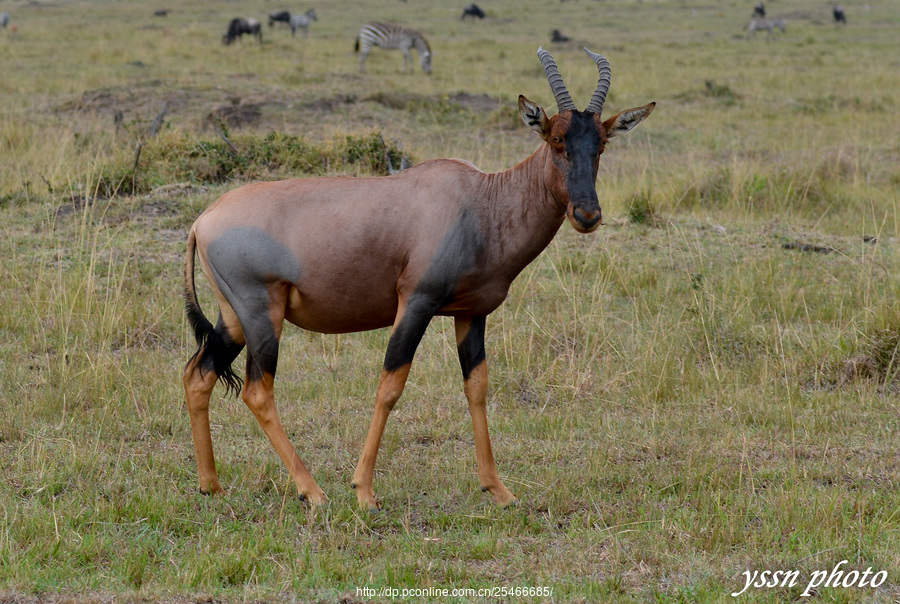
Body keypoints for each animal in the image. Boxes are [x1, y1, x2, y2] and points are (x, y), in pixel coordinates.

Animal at [183, 47, 652, 510]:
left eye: (601, 144)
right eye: (556, 140)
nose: (587, 215)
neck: (479, 201)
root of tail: (203, 220)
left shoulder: (472, 314)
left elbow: (477, 387)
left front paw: (498, 490)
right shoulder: (416, 303)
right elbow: (390, 386)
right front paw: (364, 492)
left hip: (234, 317)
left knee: (198, 374)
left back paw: (211, 485)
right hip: (262, 313)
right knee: (257, 391)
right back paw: (312, 491)